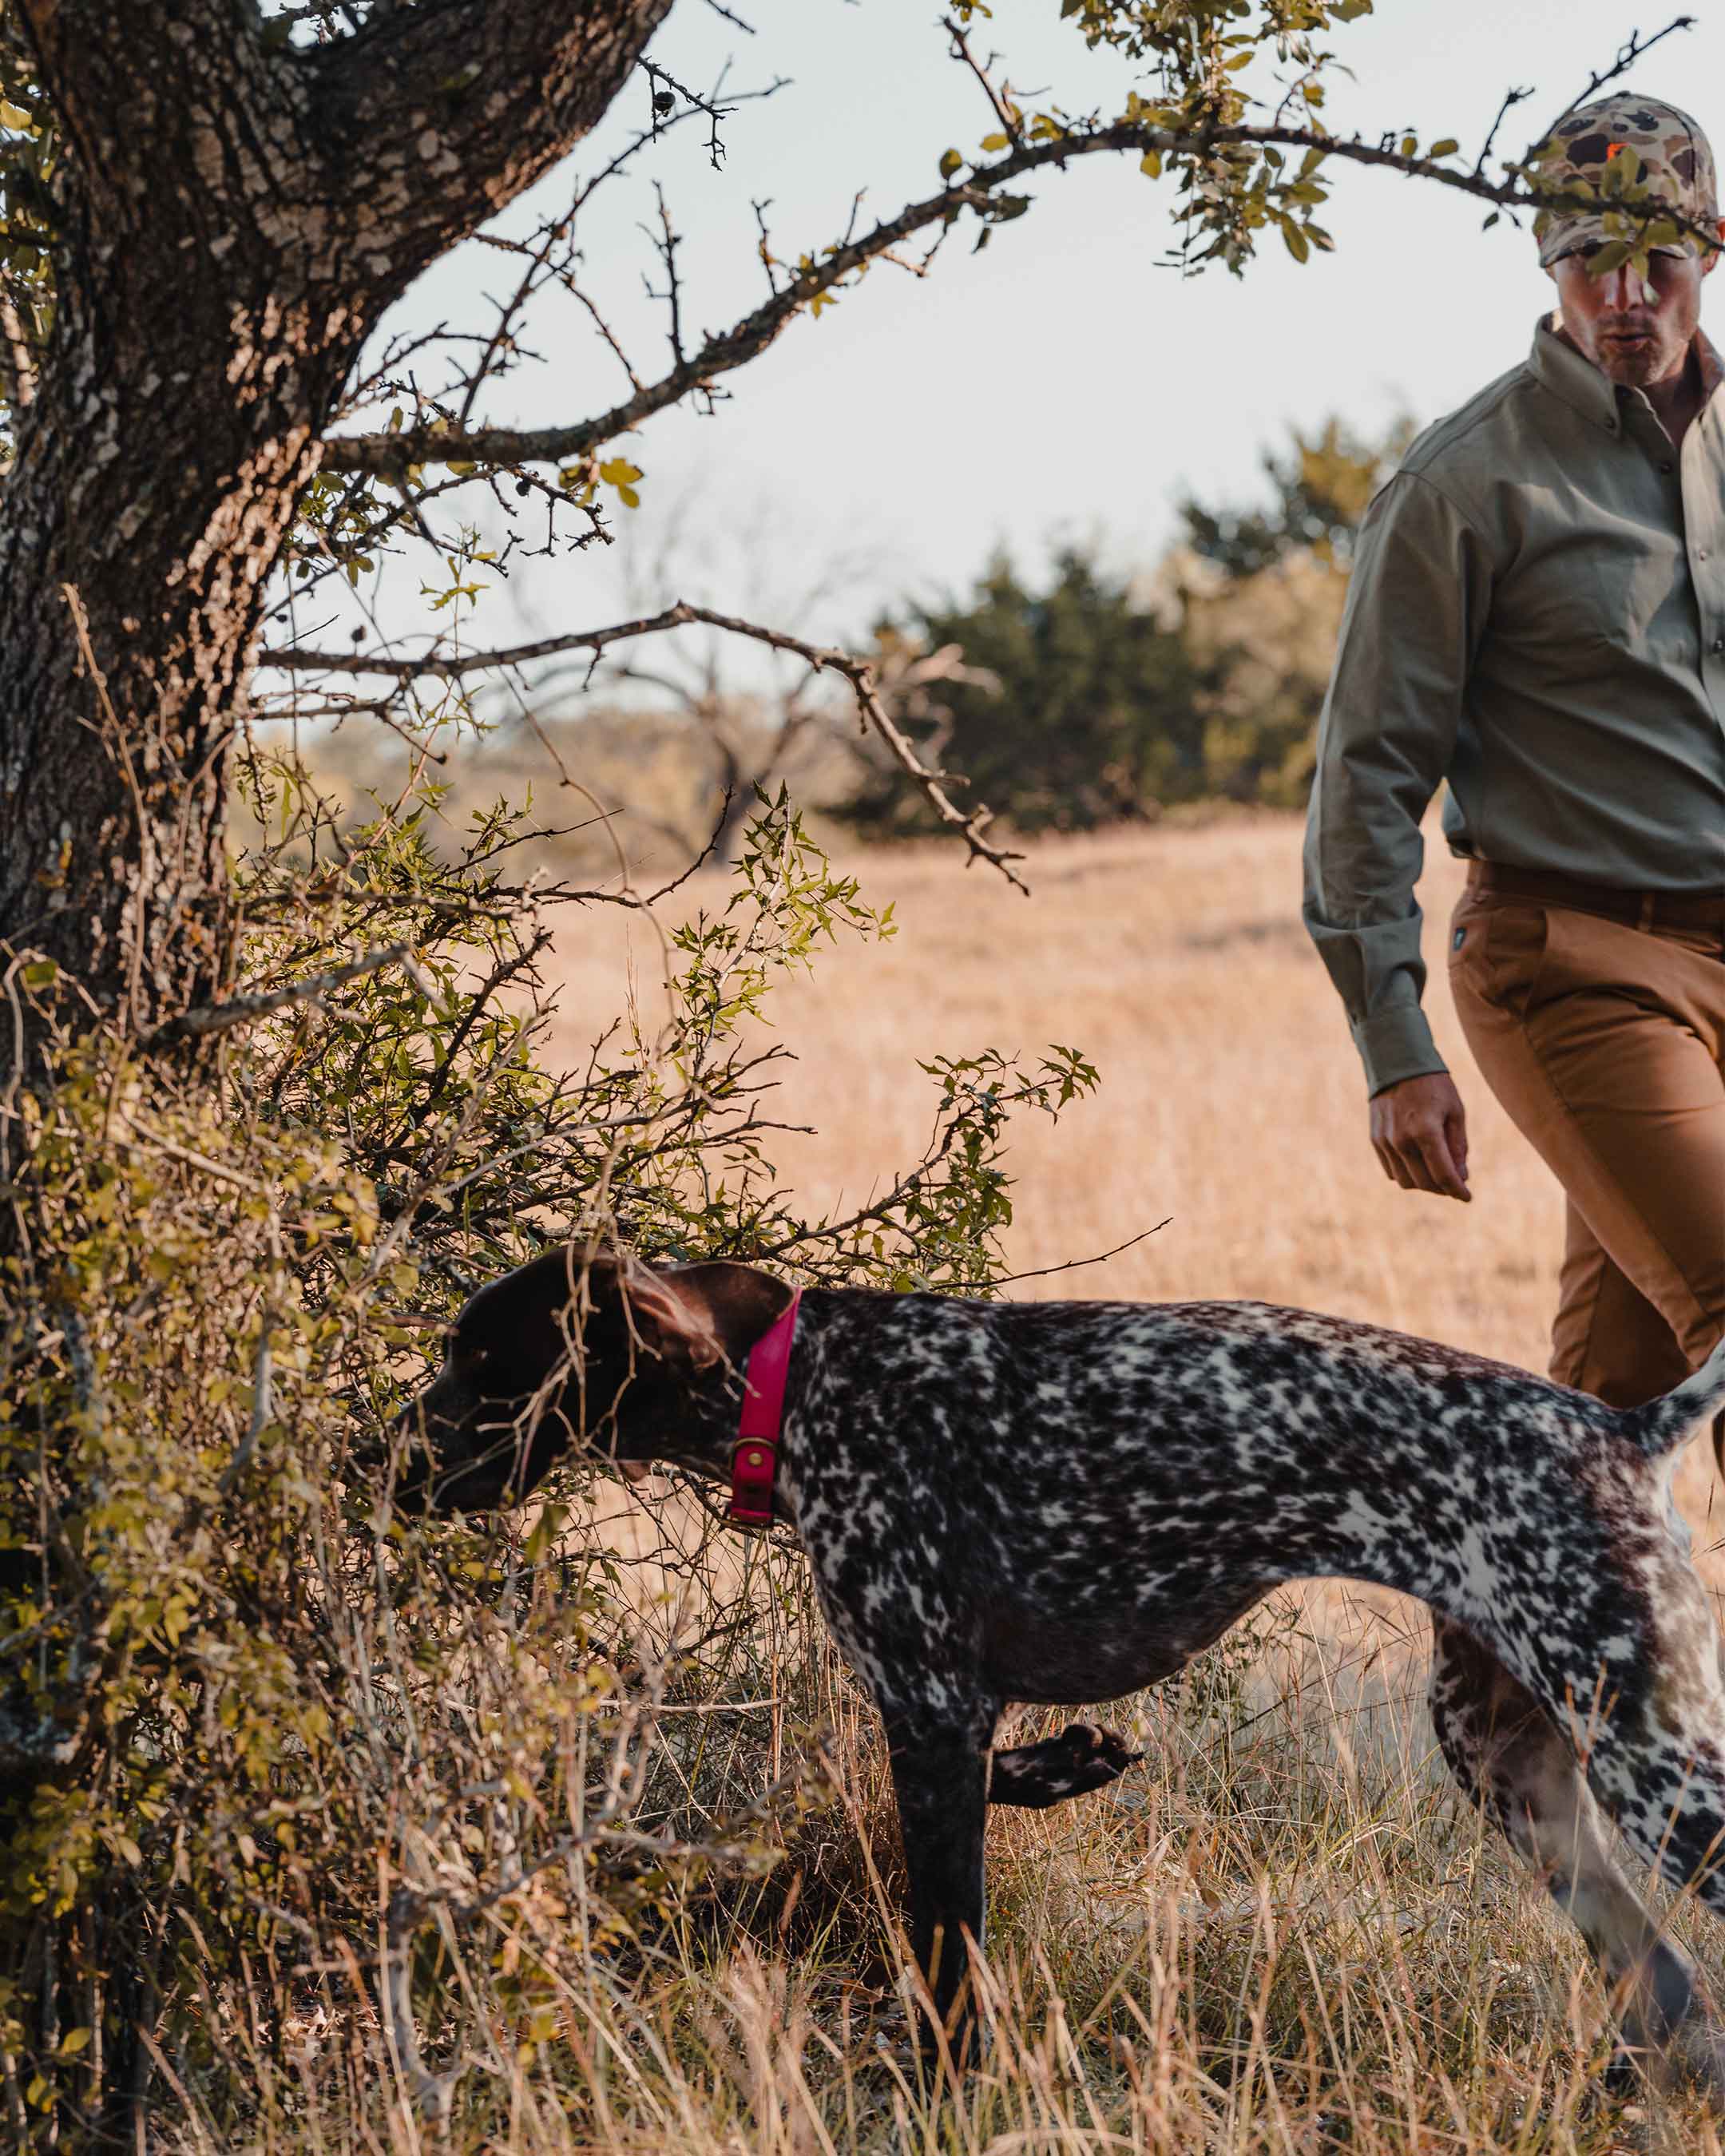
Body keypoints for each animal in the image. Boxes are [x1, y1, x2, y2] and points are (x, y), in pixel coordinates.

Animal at [395, 1258, 1725, 2078]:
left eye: (484, 1363)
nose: (374, 1456)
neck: (800, 1382)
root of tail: (1621, 1431)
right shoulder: (946, 1724)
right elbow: (1004, 1790)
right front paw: (1069, 1765)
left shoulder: (928, 1710)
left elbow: (946, 1963)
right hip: (1509, 1766)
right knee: (1672, 1998)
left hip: (1654, 1767)